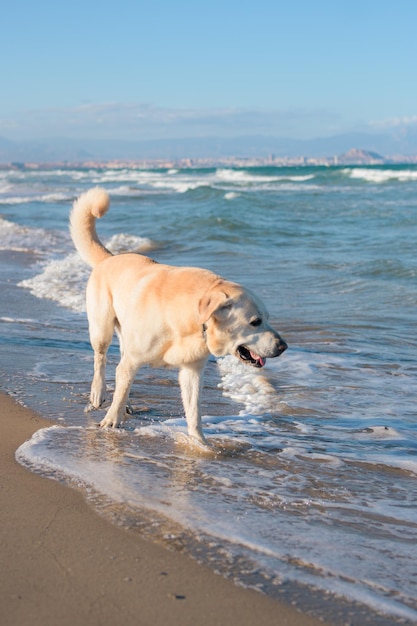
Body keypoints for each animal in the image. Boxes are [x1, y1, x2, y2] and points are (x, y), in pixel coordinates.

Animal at [70, 186, 288, 444]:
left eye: (268, 318)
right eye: (255, 322)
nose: (284, 346)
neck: (191, 319)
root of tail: (110, 257)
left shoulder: (192, 372)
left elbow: (194, 412)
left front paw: (199, 443)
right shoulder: (134, 358)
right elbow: (121, 384)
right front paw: (111, 421)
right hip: (101, 328)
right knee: (102, 360)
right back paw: (99, 394)